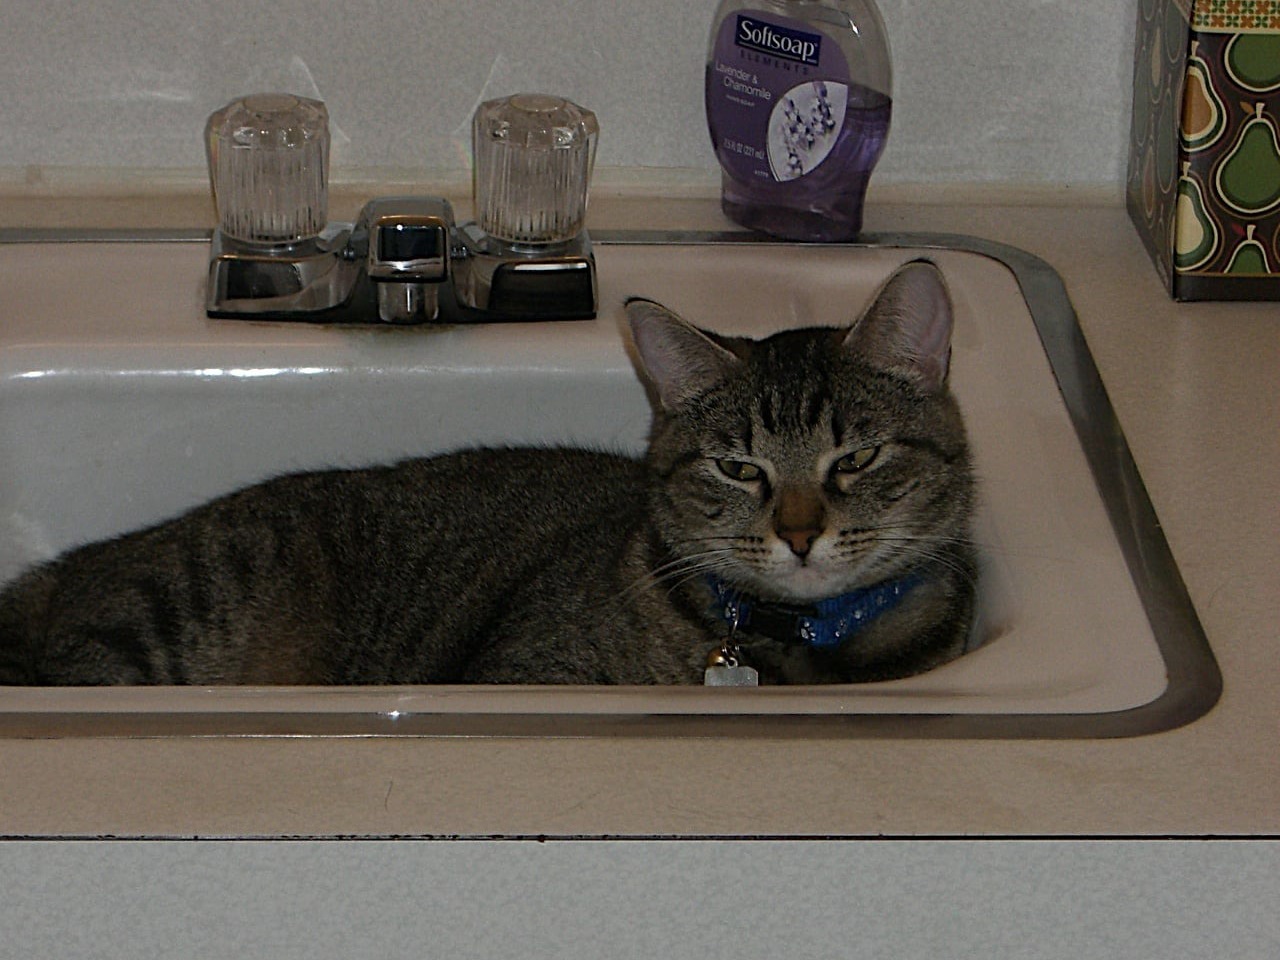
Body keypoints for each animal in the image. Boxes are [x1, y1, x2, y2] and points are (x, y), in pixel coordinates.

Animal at [0, 259, 967, 686]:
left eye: (857, 457)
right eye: (739, 468)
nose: (799, 536)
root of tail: (71, 567)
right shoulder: (529, 674)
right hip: (165, 617)